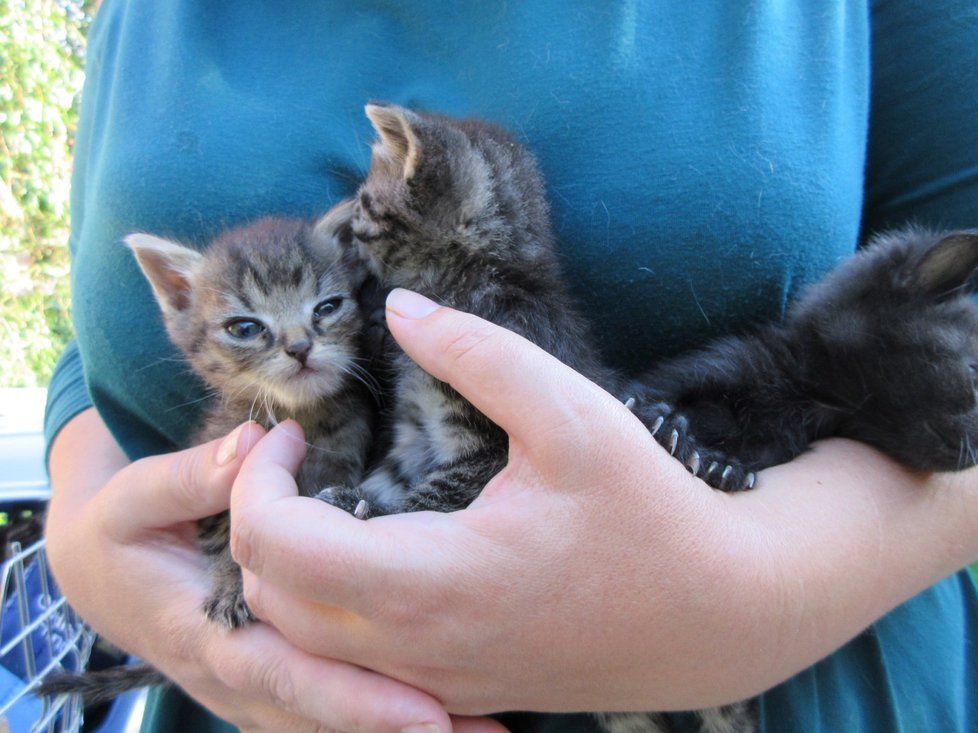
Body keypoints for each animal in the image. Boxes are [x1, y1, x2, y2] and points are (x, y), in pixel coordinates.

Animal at [41, 213, 374, 704]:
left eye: (327, 307)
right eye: (245, 328)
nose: (299, 347)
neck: (298, 414)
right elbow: (222, 531)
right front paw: (231, 583)